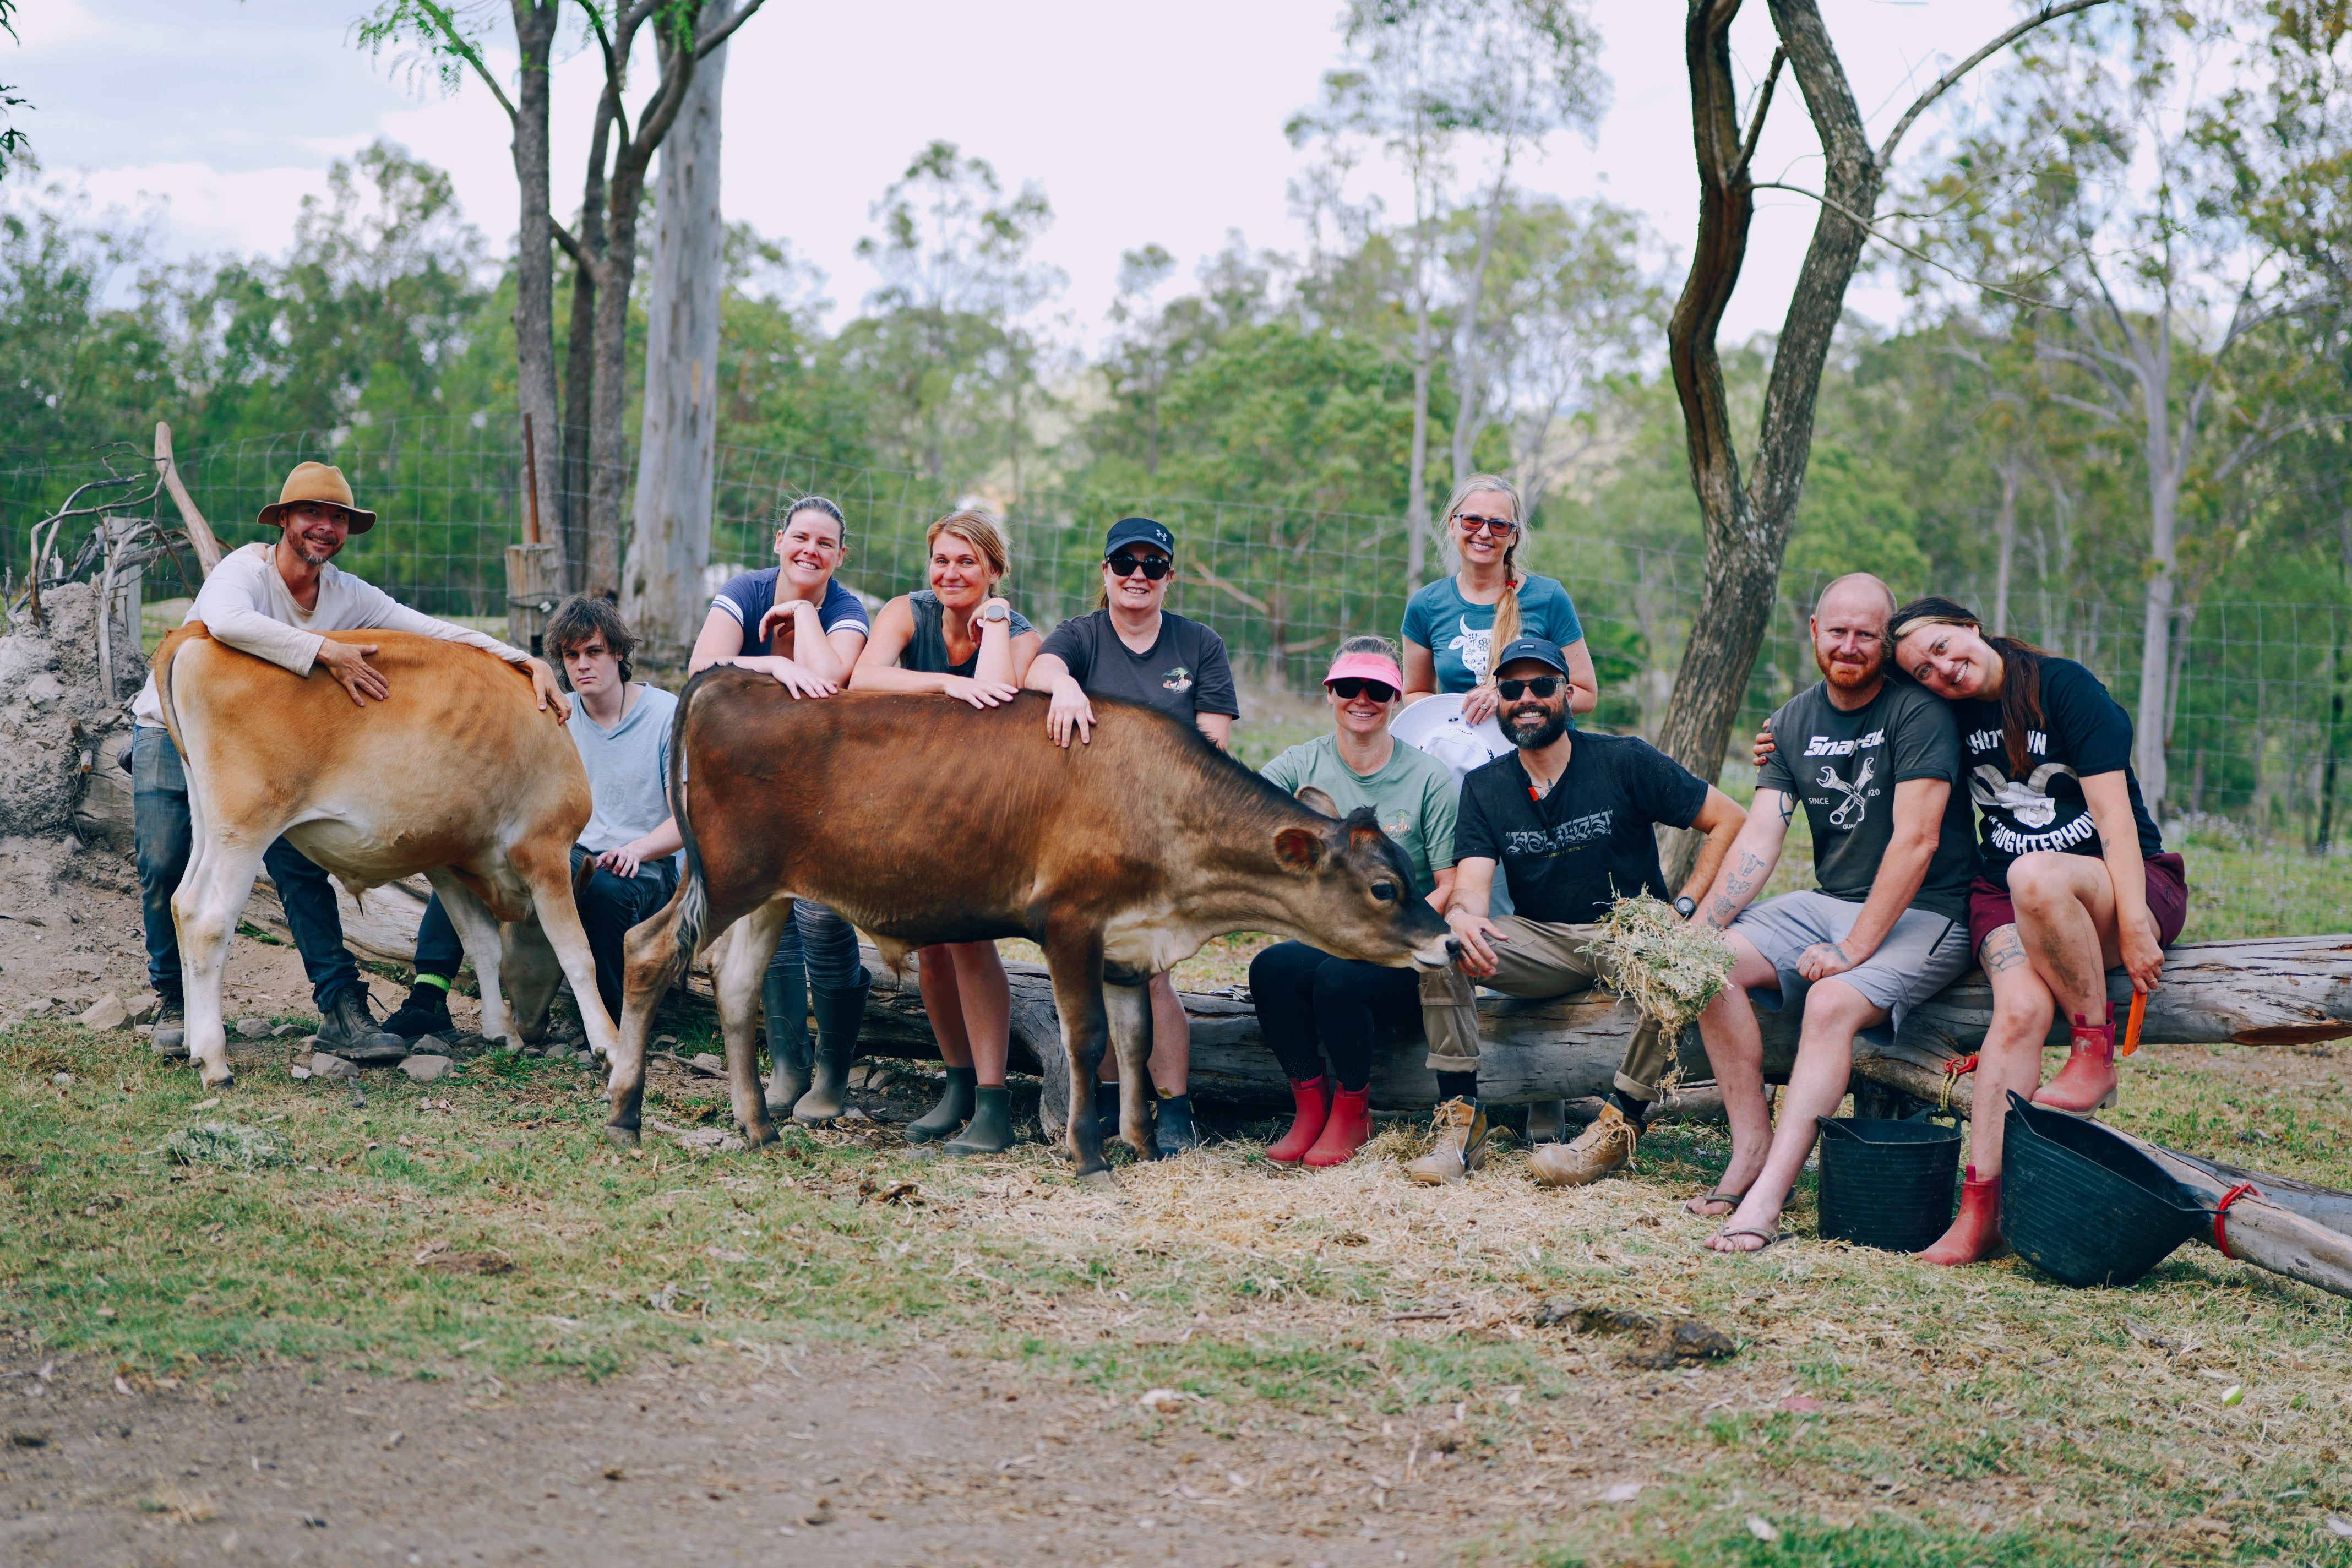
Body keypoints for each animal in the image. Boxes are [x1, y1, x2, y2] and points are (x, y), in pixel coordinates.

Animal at [611, 674, 1456, 1180]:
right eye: (1384, 888)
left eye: (1410, 874)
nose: (1448, 939)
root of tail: (735, 677)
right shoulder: (1071, 921)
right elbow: (1087, 1040)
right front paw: (1089, 1153)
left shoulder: (1129, 945)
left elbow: (1137, 1041)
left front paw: (1141, 1143)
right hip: (727, 877)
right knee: (646, 950)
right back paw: (625, 1115)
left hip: (769, 894)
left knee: (736, 986)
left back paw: (758, 1126)